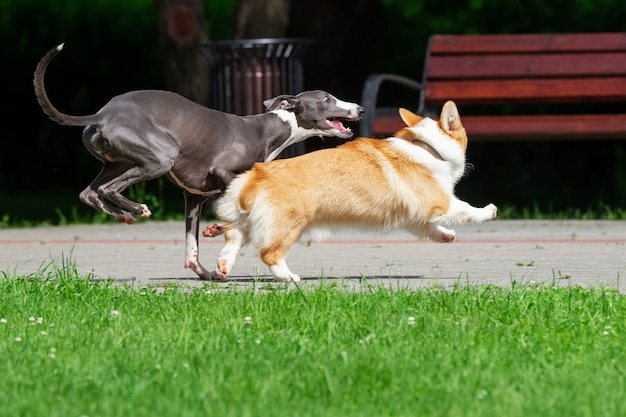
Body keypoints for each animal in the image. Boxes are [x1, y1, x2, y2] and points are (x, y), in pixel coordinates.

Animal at [34, 43, 364, 280]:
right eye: (326, 99)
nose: (359, 109)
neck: (267, 129)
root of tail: (102, 114)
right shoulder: (223, 171)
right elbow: (238, 215)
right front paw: (217, 230)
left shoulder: (193, 198)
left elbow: (192, 246)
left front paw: (204, 270)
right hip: (159, 157)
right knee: (109, 189)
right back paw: (136, 209)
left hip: (117, 162)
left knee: (89, 192)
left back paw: (122, 215)